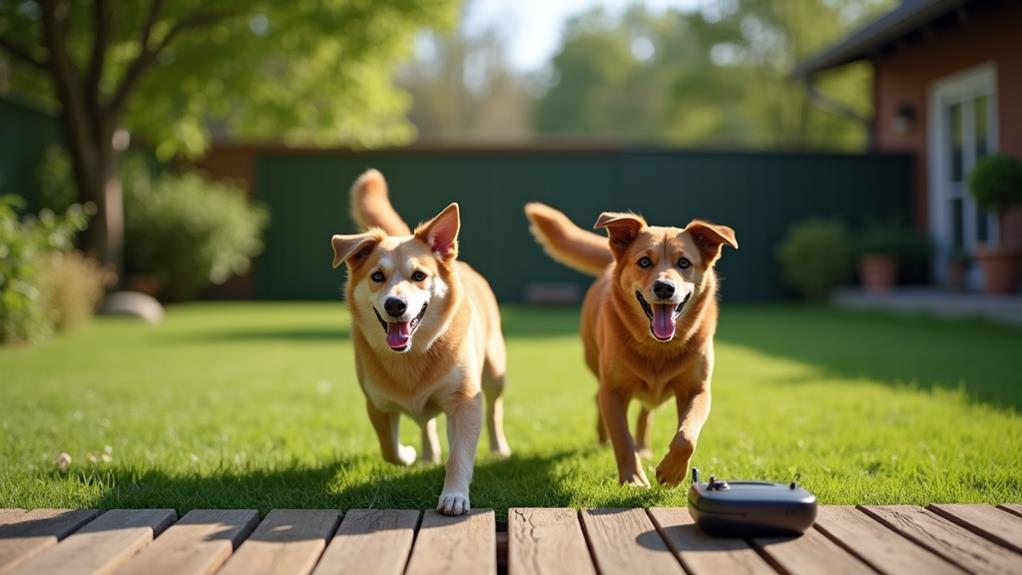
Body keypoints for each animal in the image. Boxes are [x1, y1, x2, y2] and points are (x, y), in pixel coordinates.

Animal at [331, 168, 510, 514]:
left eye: (419, 276)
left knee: (494, 410)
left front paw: (454, 494)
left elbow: (460, 455)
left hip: (495, 371)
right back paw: (427, 454)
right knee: (425, 421)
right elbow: (390, 450)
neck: (412, 355)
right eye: (377, 276)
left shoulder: (465, 399)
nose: (395, 305)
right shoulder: (376, 404)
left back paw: (499, 448)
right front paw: (410, 454)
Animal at [527, 204, 735, 488]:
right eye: (644, 262)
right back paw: (603, 439)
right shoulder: (613, 391)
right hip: (596, 365)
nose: (664, 287)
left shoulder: (698, 390)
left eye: (684, 263)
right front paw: (634, 478)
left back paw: (644, 447)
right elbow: (622, 439)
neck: (658, 348)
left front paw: (671, 472)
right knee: (598, 400)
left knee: (646, 412)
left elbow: (686, 438)